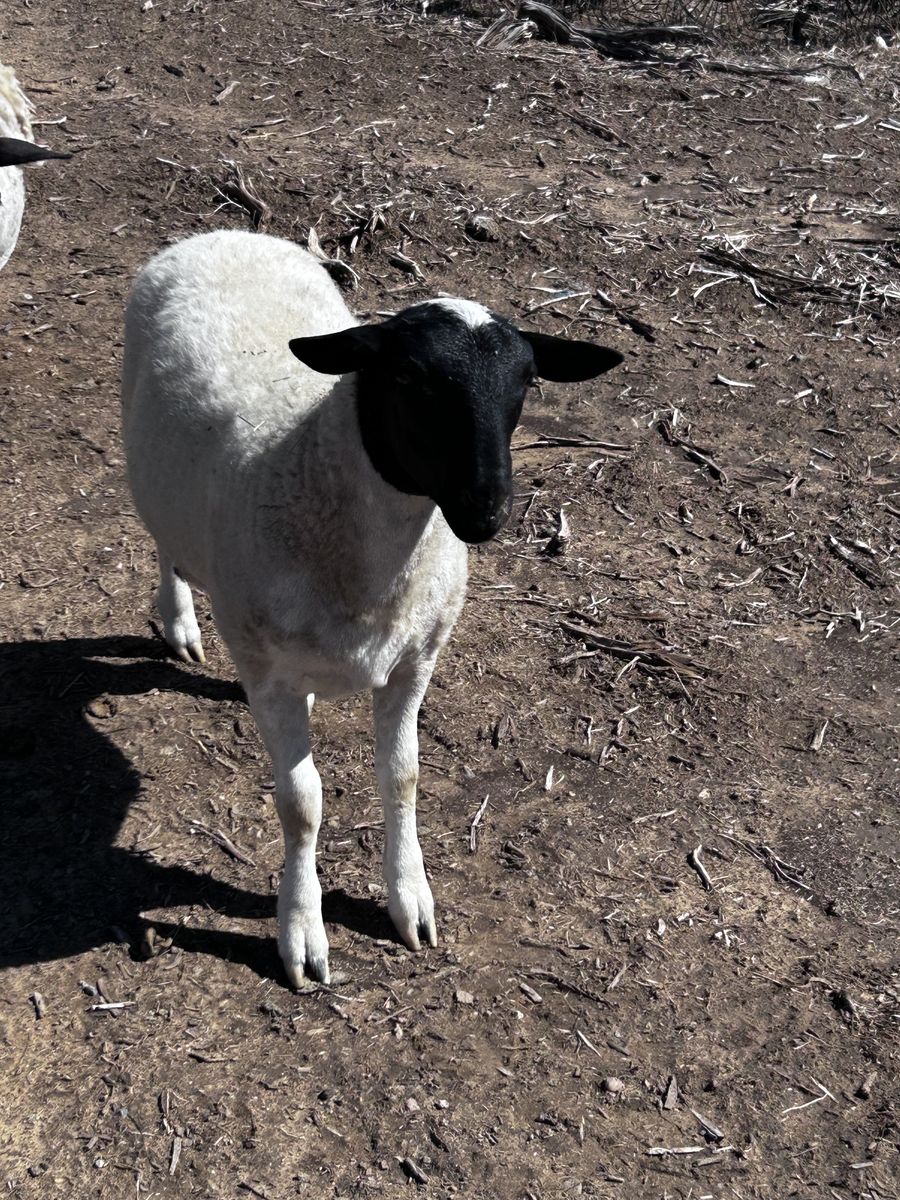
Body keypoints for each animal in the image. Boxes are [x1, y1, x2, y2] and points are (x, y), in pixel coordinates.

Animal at [122, 228, 623, 987]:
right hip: (148, 477)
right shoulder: (268, 672)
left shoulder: (414, 661)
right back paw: (178, 620)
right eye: (410, 378)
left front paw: (409, 898)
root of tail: (223, 235)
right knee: (164, 545)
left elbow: (404, 777)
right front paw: (302, 931)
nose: (486, 508)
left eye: (526, 382)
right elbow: (301, 804)